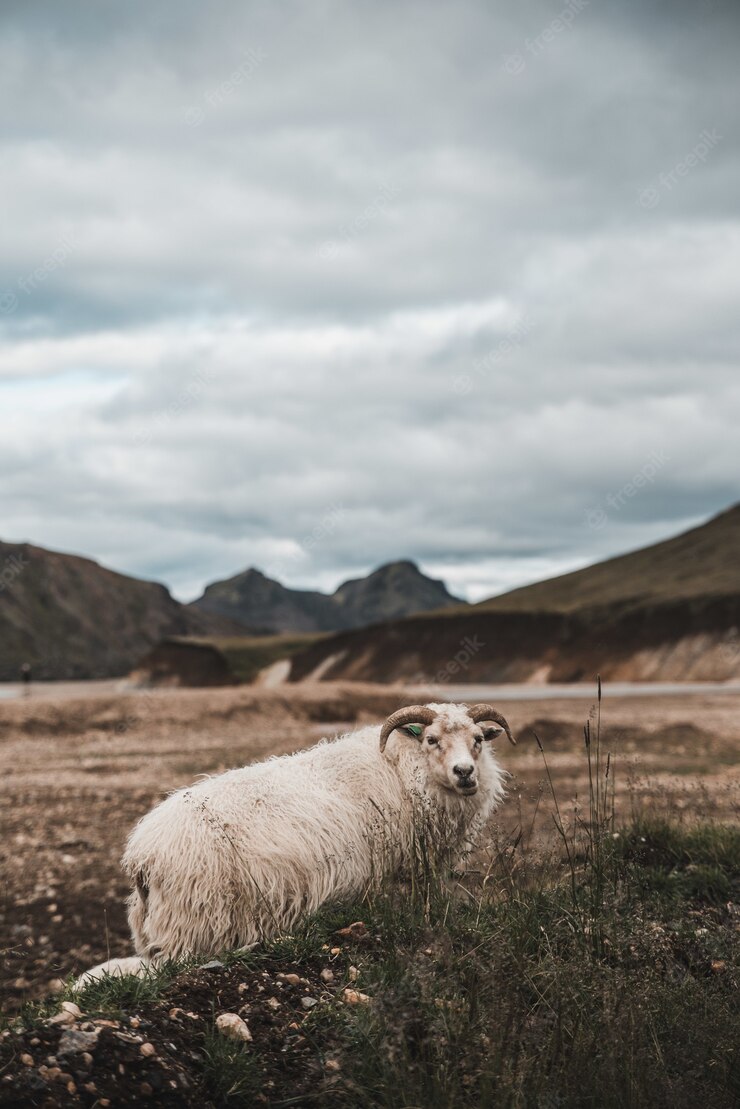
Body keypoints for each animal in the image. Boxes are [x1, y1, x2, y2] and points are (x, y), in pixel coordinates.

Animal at [76, 705, 514, 984]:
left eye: (478, 739)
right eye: (432, 739)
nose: (465, 773)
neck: (401, 768)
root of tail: (141, 854)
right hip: (192, 923)